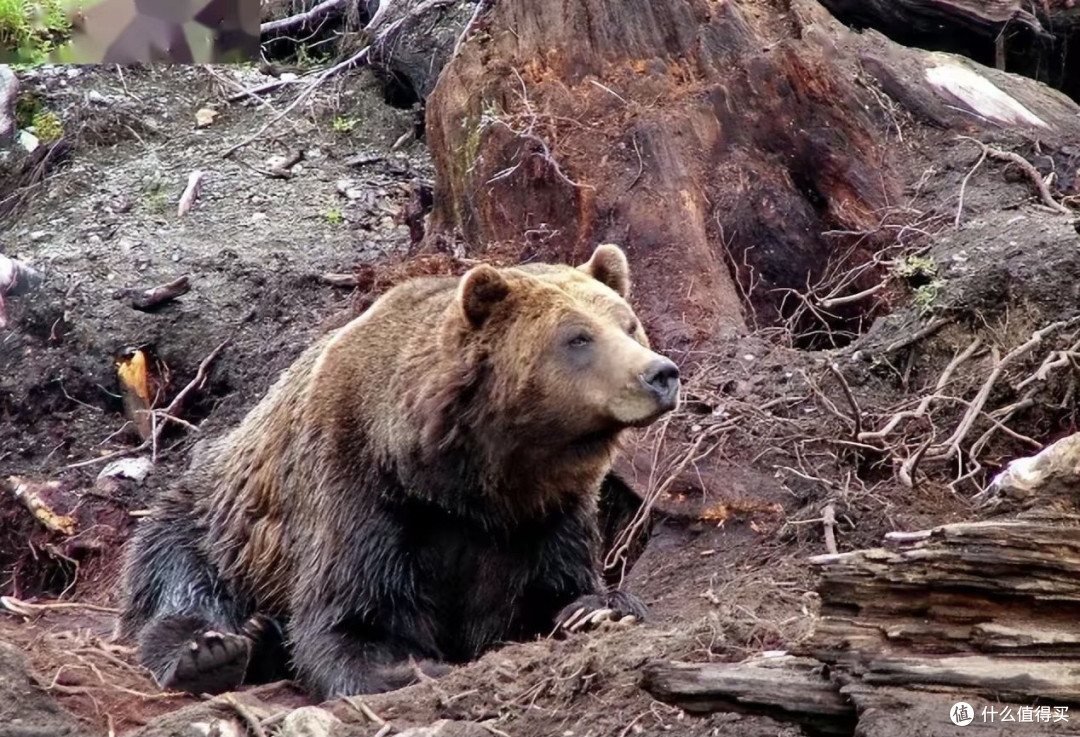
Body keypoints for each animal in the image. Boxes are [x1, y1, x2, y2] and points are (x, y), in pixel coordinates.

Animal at [117, 244, 680, 700]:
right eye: (577, 337)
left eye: (628, 323)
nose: (660, 373)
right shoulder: (362, 490)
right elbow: (351, 620)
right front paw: (403, 669)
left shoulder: (545, 515)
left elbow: (555, 589)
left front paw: (597, 608)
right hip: (211, 528)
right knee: (180, 586)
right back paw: (214, 651)